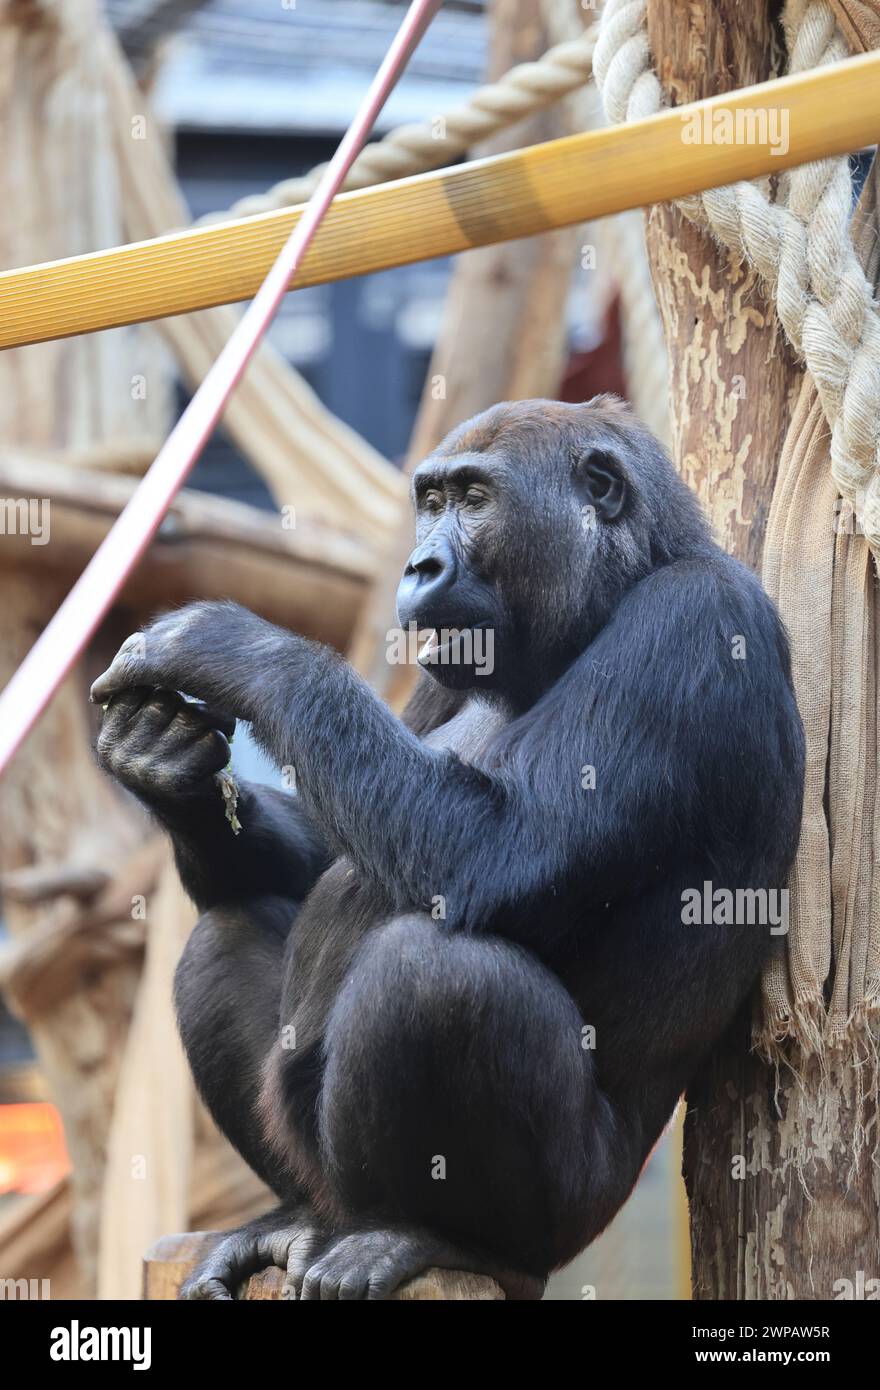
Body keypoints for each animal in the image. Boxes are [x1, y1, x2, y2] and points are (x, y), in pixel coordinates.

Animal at [94, 397, 800, 1295]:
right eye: (428, 502)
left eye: (473, 498)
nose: (419, 565)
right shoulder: (444, 670)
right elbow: (331, 846)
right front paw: (166, 768)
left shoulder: (695, 621)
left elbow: (499, 855)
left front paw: (234, 647)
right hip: (319, 1180)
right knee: (226, 935)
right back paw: (290, 1216)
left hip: (575, 1215)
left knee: (438, 978)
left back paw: (435, 1237)